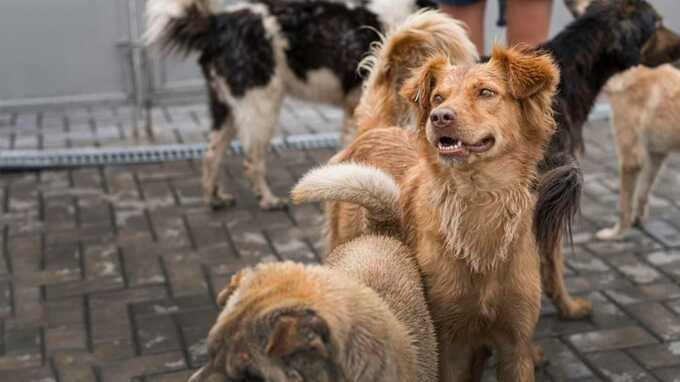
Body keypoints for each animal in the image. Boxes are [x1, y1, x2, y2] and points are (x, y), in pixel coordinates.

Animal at [144, 0, 476, 209]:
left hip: (225, 107)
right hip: (261, 104)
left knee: (212, 154)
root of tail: (218, 23)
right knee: (252, 160)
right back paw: (268, 200)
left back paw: (215, 198)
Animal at [294, 47, 560, 382]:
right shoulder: (447, 343)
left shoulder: (516, 345)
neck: (478, 202)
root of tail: (376, 128)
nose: (440, 116)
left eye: (486, 92)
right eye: (437, 97)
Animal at [596, 64, 680, 240]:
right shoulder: (656, 154)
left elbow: (624, 206)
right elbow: (643, 192)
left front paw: (617, 233)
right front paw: (637, 221)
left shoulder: (630, 160)